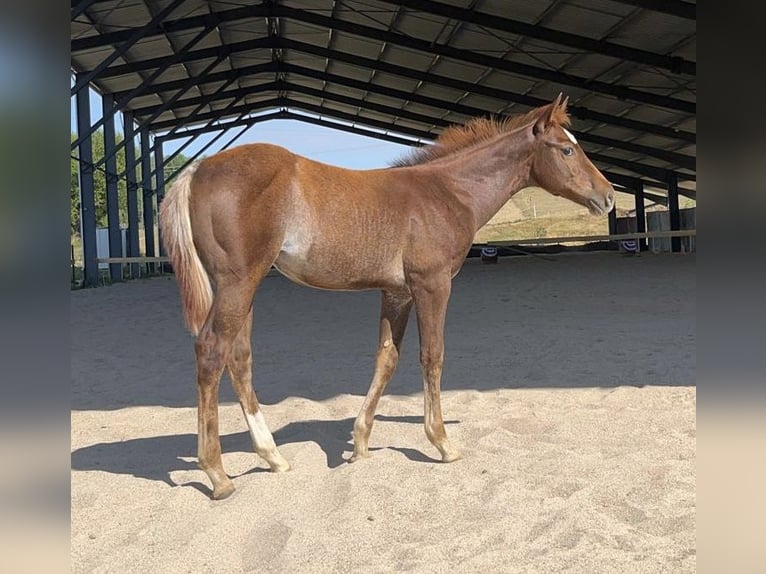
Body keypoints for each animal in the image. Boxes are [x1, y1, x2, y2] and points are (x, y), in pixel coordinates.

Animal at [160, 93, 615, 499]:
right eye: (567, 149)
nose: (608, 196)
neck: (446, 192)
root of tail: (198, 168)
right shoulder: (433, 285)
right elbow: (432, 356)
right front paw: (442, 442)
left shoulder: (397, 293)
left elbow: (387, 358)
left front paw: (360, 444)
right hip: (238, 283)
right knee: (212, 350)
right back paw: (218, 475)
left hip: (242, 287)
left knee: (239, 357)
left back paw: (273, 457)